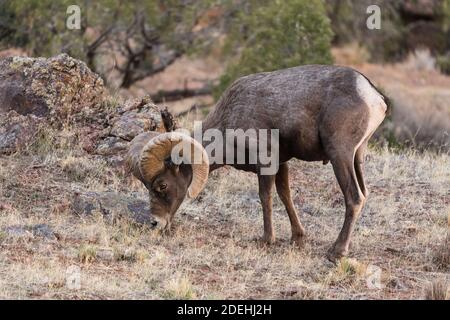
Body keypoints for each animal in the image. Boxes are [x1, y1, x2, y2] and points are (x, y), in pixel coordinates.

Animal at [126, 64, 386, 260]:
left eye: (162, 185)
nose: (155, 223)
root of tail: (373, 96)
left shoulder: (266, 163)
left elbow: (265, 198)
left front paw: (266, 239)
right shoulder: (281, 164)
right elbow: (285, 195)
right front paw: (297, 238)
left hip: (339, 155)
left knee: (354, 197)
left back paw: (336, 252)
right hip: (357, 157)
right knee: (363, 194)